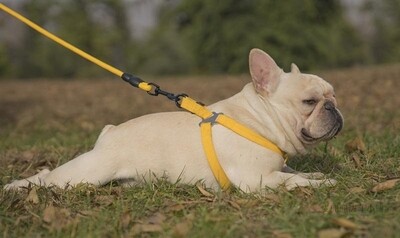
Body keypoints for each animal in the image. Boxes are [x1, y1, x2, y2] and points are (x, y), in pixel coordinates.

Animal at [3, 49, 344, 192]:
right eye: (309, 102)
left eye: (333, 95)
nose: (334, 107)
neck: (257, 120)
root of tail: (109, 133)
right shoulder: (255, 179)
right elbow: (292, 180)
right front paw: (321, 183)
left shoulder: (272, 169)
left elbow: (292, 171)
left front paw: (314, 174)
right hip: (87, 173)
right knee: (50, 178)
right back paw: (17, 188)